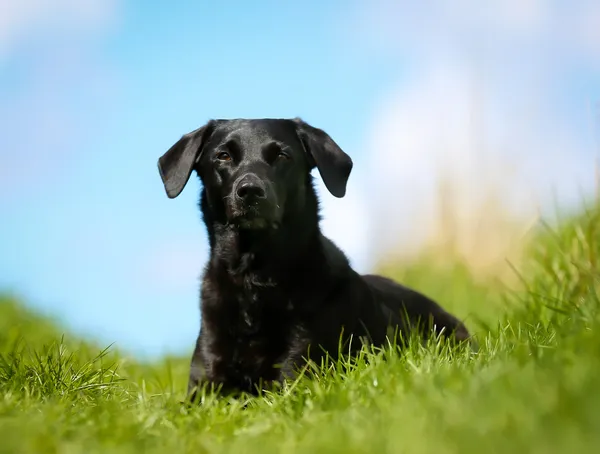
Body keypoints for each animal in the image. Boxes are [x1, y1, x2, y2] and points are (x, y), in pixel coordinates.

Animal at [158, 118, 468, 400]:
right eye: (223, 155)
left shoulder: (296, 371)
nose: (250, 191)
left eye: (282, 155)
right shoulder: (205, 384)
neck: (255, 278)